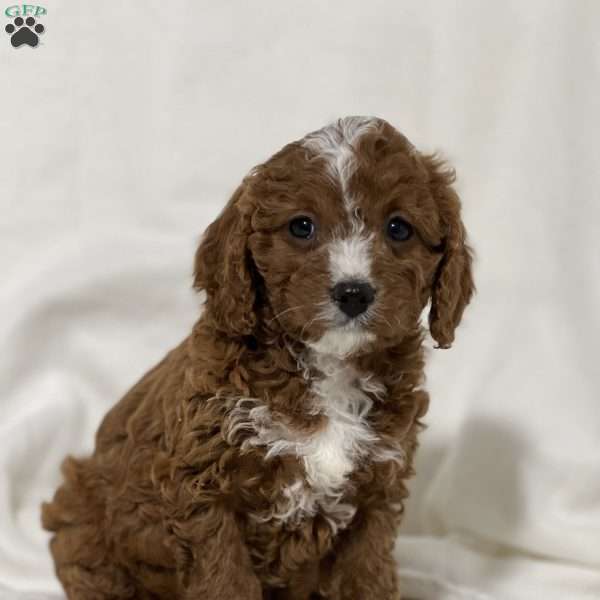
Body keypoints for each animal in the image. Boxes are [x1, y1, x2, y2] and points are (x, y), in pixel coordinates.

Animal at [41, 117, 474, 600]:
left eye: (399, 229)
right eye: (301, 226)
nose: (353, 292)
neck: (328, 369)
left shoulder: (376, 491)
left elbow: (365, 576)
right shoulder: (204, 491)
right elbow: (226, 581)